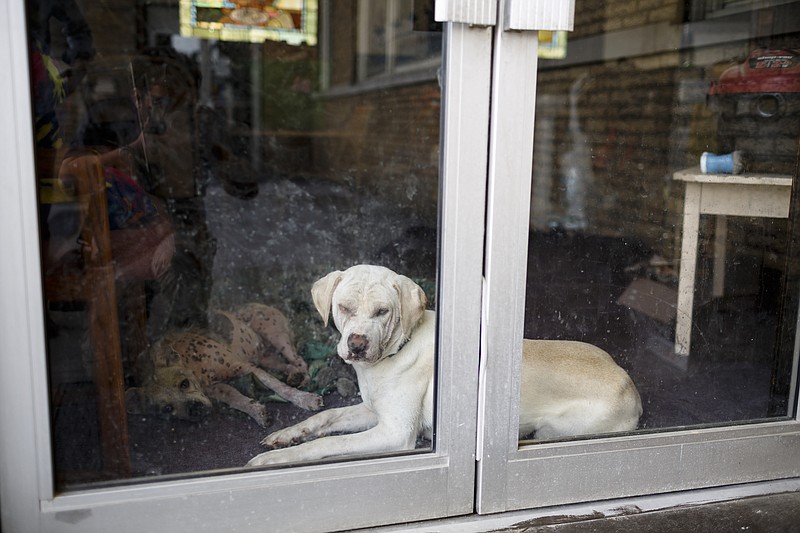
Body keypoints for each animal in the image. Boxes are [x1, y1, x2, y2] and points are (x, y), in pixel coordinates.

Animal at [247, 262, 640, 466]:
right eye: (344, 307)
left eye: (382, 312)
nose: (356, 345)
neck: (396, 351)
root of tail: (630, 385)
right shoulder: (374, 411)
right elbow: (325, 418)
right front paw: (287, 435)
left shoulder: (395, 433)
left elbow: (327, 446)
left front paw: (274, 462)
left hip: (555, 430)